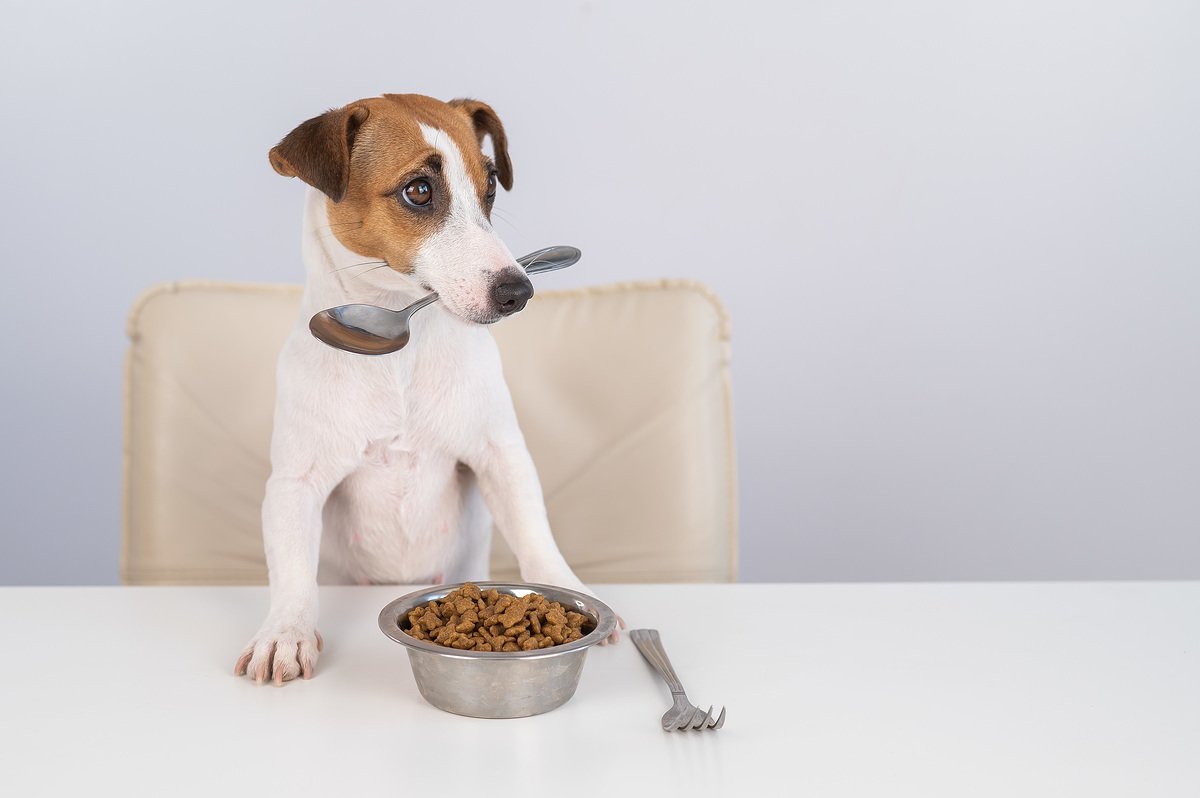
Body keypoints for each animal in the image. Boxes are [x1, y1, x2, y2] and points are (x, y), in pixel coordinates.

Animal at [234, 90, 614, 681]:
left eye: (488, 188)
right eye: (418, 190)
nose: (518, 291)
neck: (398, 356)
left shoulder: (500, 456)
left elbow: (534, 531)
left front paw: (567, 587)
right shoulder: (295, 485)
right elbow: (293, 571)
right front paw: (285, 633)